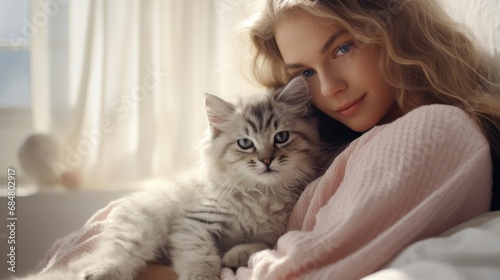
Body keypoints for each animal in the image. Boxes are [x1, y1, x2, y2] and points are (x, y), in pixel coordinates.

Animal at [12, 76, 328, 280]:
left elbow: (260, 244)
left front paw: (236, 254)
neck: (259, 192)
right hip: (142, 225)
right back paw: (101, 273)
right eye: (245, 143)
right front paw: (204, 276)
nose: (266, 160)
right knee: (115, 257)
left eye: (281, 137)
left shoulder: (272, 232)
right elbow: (200, 254)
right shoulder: (194, 223)